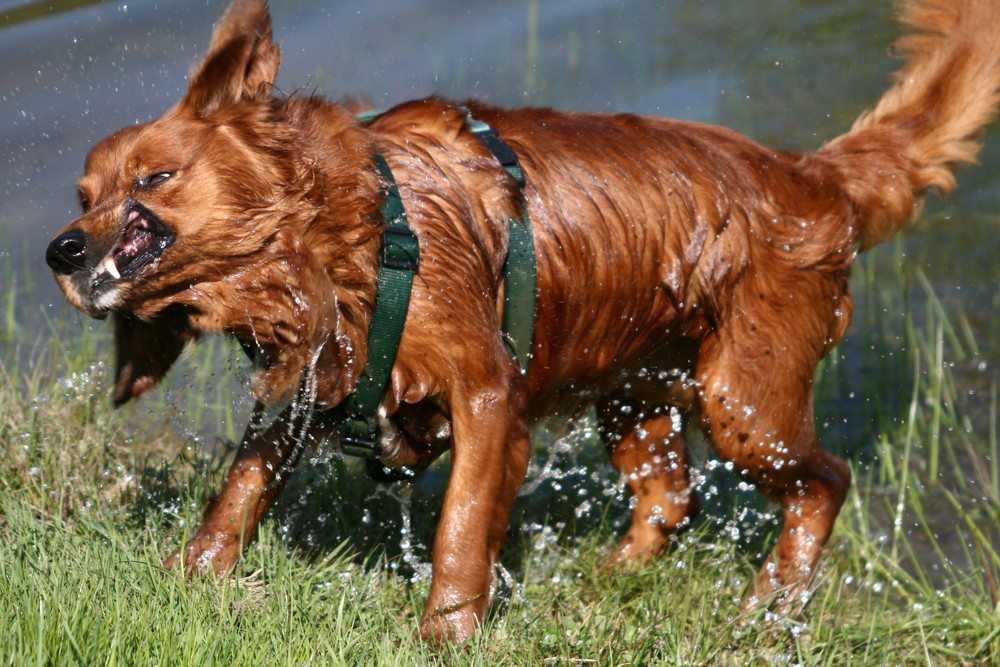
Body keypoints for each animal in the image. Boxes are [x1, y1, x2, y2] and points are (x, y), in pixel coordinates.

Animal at [47, 0, 1000, 640]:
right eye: (83, 195)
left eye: (156, 179)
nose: (60, 248)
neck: (339, 236)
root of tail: (814, 176)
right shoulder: (310, 387)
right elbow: (240, 492)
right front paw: (186, 575)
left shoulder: (485, 392)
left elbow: (462, 525)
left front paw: (446, 630)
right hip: (635, 390)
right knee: (673, 494)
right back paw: (603, 582)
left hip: (745, 398)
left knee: (825, 481)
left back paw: (771, 603)